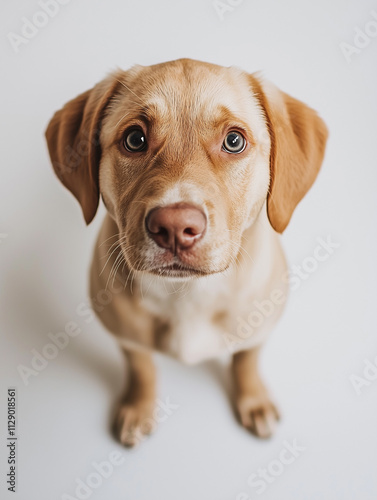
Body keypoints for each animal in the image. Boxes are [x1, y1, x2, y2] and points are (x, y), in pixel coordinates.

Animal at [44, 58, 326, 446]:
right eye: (135, 139)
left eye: (234, 141)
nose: (175, 227)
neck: (187, 293)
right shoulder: (125, 334)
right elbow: (141, 367)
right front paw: (139, 405)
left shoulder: (260, 328)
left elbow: (246, 361)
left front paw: (253, 399)